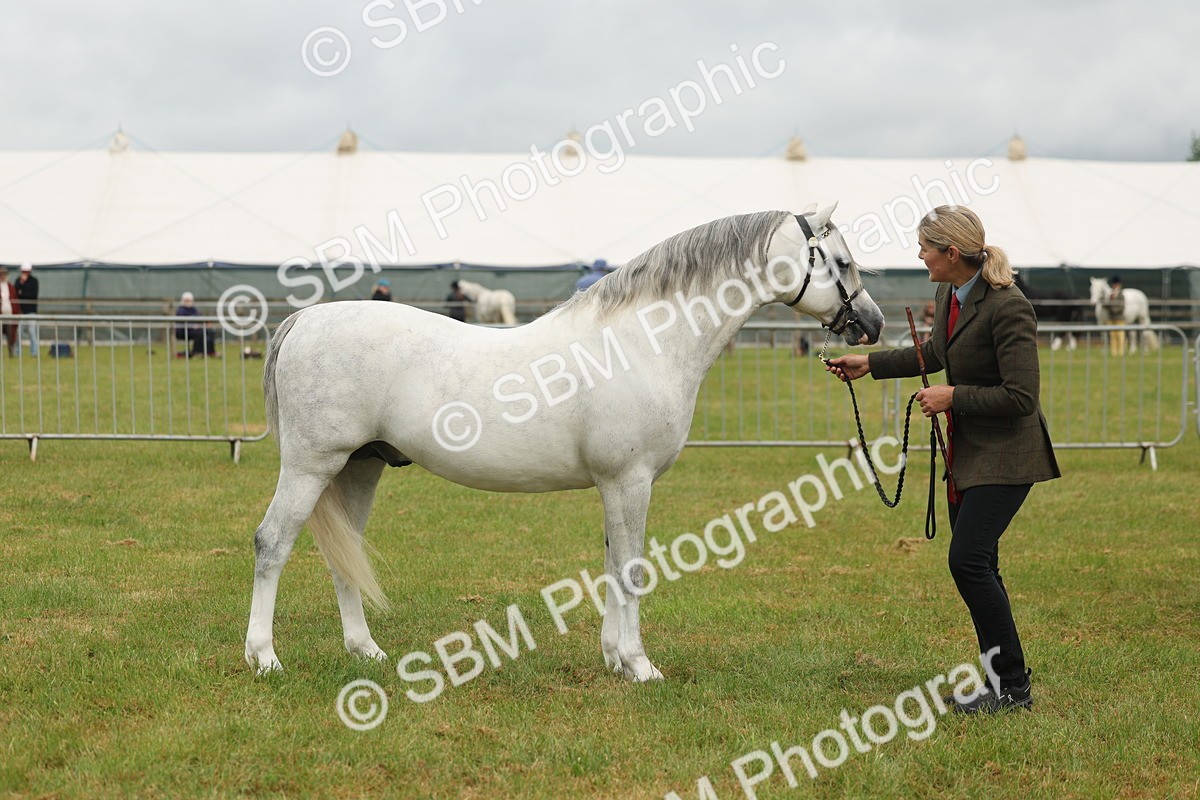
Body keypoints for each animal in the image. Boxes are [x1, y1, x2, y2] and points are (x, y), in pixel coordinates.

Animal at [244, 206, 885, 680]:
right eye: (843, 261)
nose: (873, 325)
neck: (642, 341)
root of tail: (305, 320)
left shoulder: (615, 486)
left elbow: (611, 564)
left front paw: (614, 658)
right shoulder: (629, 481)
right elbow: (631, 569)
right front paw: (640, 665)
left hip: (359, 467)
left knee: (343, 553)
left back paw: (366, 651)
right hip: (311, 465)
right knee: (272, 543)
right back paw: (264, 658)